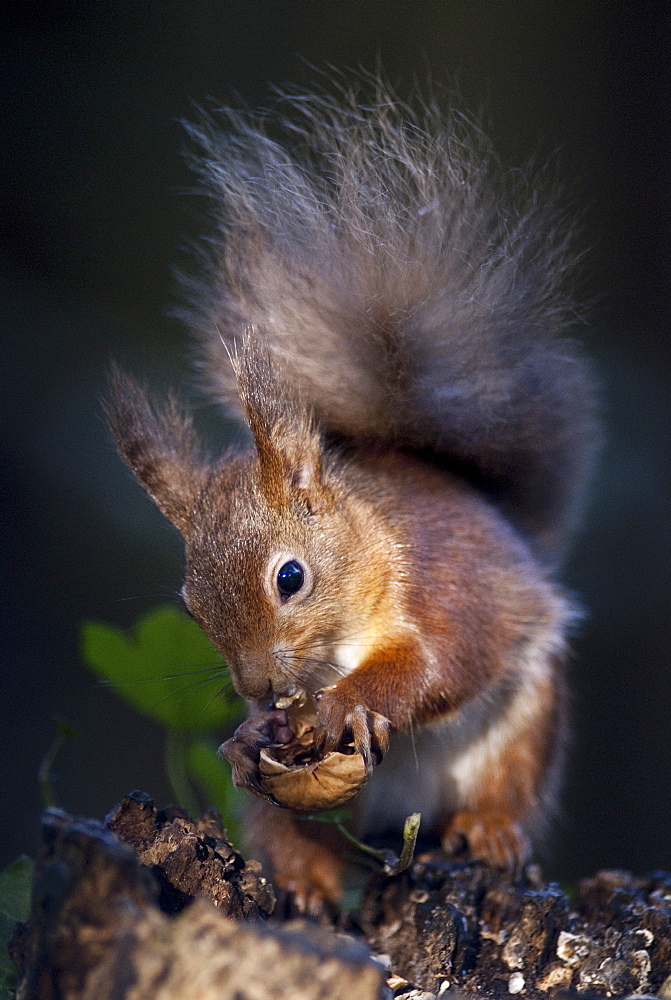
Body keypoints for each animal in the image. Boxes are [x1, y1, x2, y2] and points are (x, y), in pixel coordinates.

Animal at [106, 76, 600, 908]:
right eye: (190, 606)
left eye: (290, 578)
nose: (259, 688)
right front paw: (249, 737)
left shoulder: (445, 586)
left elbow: (441, 664)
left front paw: (341, 706)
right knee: (297, 834)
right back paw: (304, 877)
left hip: (527, 725)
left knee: (507, 785)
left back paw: (490, 829)